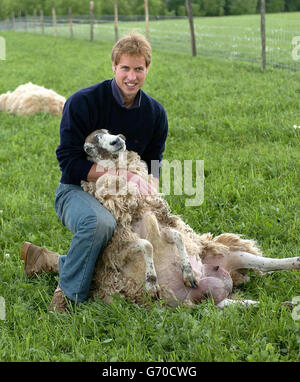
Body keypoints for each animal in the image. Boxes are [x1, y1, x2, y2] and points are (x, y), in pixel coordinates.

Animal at [82, 130, 300, 308]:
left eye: (109, 132)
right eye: (93, 142)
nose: (118, 139)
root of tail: (223, 283)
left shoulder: (162, 226)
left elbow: (177, 236)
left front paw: (187, 272)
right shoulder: (119, 246)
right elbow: (147, 245)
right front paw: (152, 282)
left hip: (229, 255)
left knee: (267, 264)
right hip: (214, 303)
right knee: (257, 303)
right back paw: (285, 304)